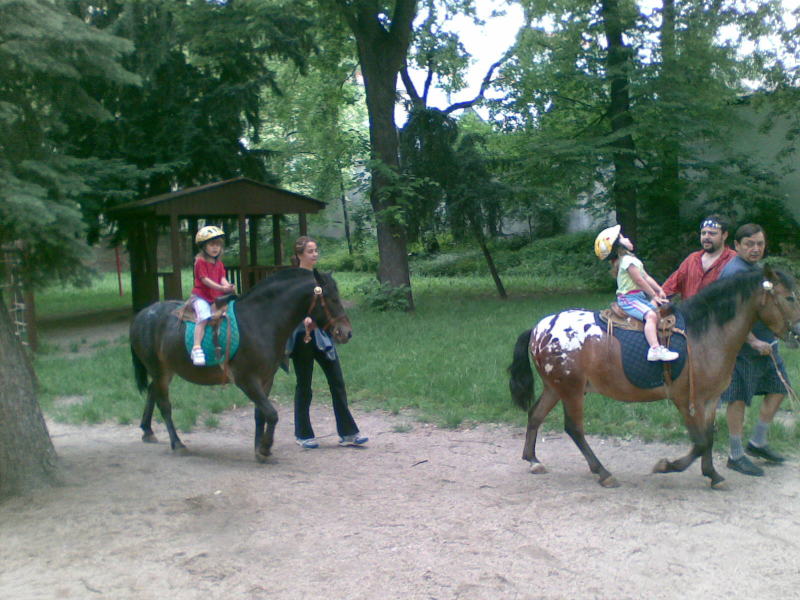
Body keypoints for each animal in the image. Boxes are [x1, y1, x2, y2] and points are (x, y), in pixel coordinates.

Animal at [129, 267, 352, 462]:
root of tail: (142, 314)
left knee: (152, 392)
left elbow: (260, 414)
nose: (346, 332)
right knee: (164, 405)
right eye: (331, 299)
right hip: (159, 370)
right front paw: (265, 447)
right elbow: (272, 414)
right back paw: (177, 443)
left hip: (165, 370)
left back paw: (147, 430)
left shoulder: (265, 380)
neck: (259, 321)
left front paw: (259, 448)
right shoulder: (246, 380)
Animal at [508, 266, 800, 489]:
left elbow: (708, 437)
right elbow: (700, 442)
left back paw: (533, 460)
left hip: (555, 387)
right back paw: (603, 473)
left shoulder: (709, 400)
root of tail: (538, 329)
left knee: (535, 415)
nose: (797, 333)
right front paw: (667, 466)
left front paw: (713, 475)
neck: (704, 335)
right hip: (570, 389)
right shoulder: (687, 401)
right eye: (789, 298)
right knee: (574, 428)